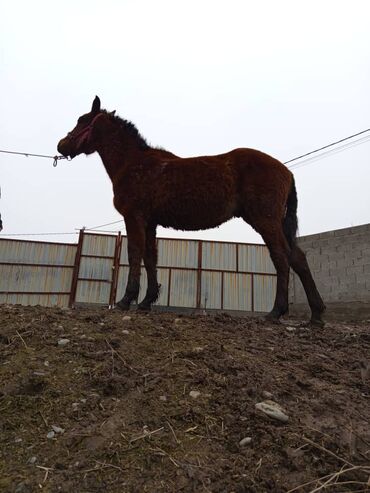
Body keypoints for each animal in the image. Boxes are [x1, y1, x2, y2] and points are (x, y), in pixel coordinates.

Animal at [56, 96, 326, 326]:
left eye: (83, 120)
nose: (61, 145)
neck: (133, 163)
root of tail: (286, 171)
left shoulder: (134, 217)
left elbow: (134, 254)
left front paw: (126, 300)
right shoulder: (150, 222)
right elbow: (150, 257)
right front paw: (146, 301)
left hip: (265, 220)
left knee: (281, 257)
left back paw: (276, 312)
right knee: (298, 258)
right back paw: (316, 315)